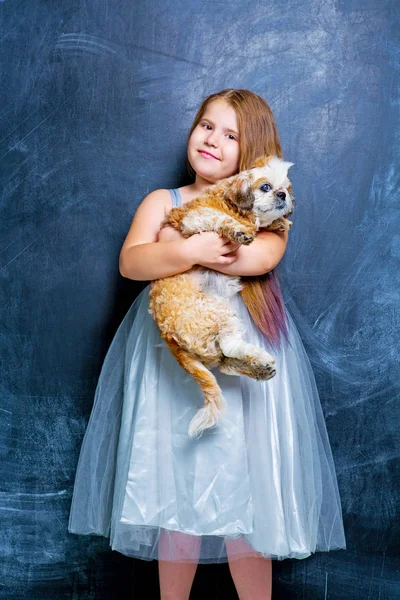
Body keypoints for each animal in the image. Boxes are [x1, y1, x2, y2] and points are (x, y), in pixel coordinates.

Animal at [148, 155, 296, 436]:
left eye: (285, 188)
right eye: (266, 187)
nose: (282, 195)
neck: (232, 205)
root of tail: (167, 336)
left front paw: (280, 222)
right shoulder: (195, 219)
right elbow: (220, 220)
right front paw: (239, 231)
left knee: (226, 362)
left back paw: (259, 369)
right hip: (217, 311)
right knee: (229, 347)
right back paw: (260, 358)